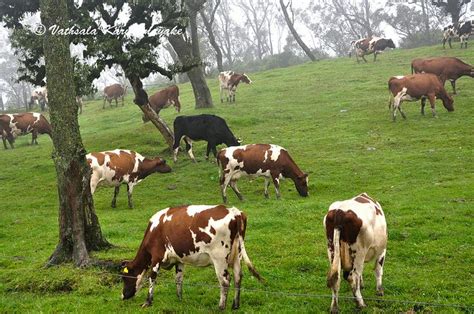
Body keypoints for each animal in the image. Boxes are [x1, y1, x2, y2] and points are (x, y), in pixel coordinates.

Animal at [120, 204, 264, 310]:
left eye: (124, 278)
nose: (122, 296)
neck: (154, 230)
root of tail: (234, 211)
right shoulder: (179, 259)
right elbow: (178, 278)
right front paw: (179, 298)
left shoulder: (156, 257)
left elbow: (152, 278)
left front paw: (148, 302)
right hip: (237, 255)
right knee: (238, 276)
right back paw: (235, 305)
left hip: (219, 258)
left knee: (225, 280)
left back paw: (221, 307)